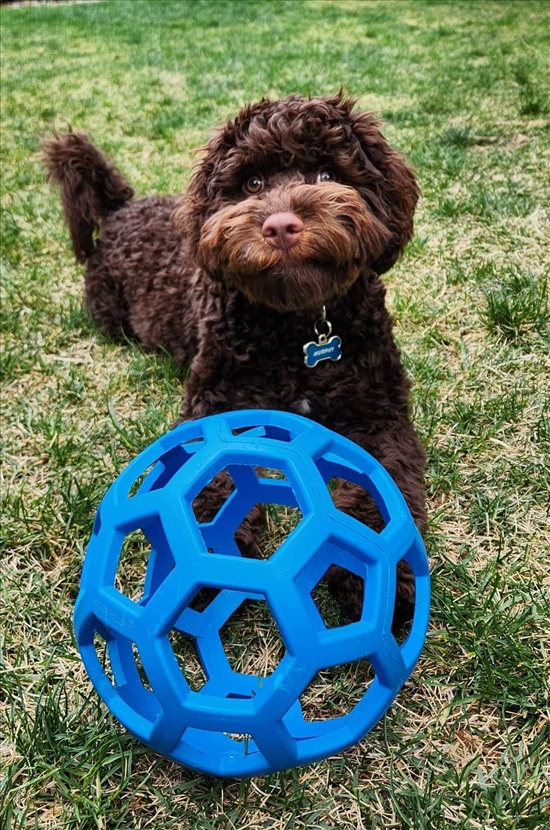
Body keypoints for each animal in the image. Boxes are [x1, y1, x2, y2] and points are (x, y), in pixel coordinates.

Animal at [45, 92, 430, 632]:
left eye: (328, 174)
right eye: (252, 184)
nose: (281, 226)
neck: (295, 329)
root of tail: (125, 207)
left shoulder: (380, 416)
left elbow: (381, 491)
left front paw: (373, 580)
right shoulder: (215, 406)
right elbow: (209, 476)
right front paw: (208, 560)